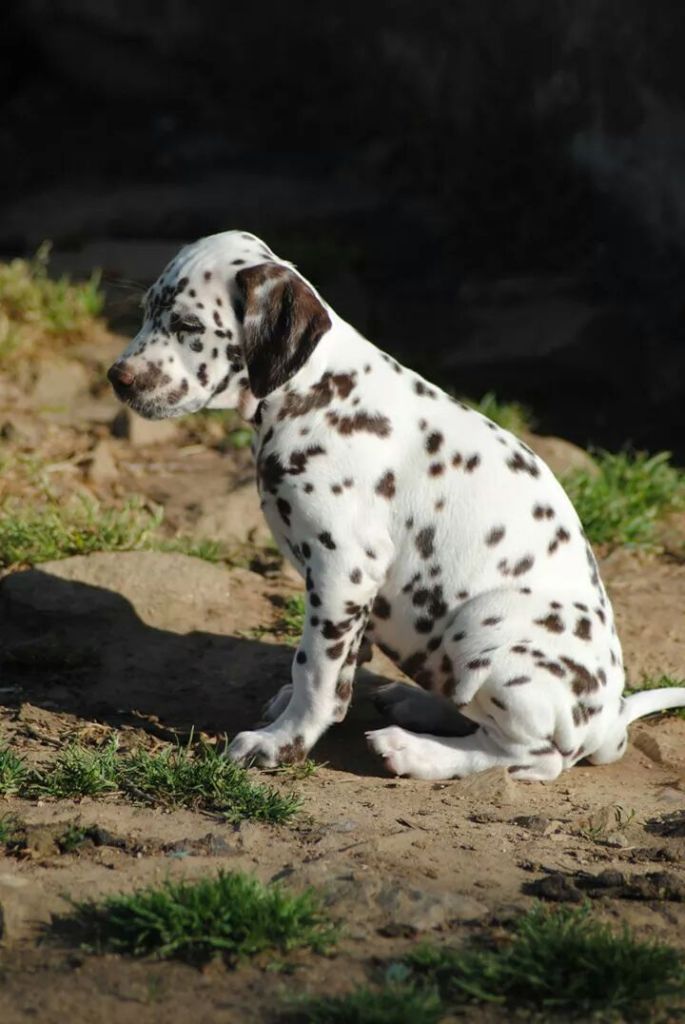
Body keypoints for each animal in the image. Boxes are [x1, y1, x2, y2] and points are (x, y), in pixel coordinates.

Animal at [106, 230, 683, 774]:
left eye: (188, 326)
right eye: (146, 311)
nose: (117, 378)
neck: (318, 393)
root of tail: (610, 722)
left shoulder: (343, 567)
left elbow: (313, 667)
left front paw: (283, 742)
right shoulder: (351, 590)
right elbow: (336, 665)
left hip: (487, 626)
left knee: (528, 756)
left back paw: (413, 752)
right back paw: (417, 705)